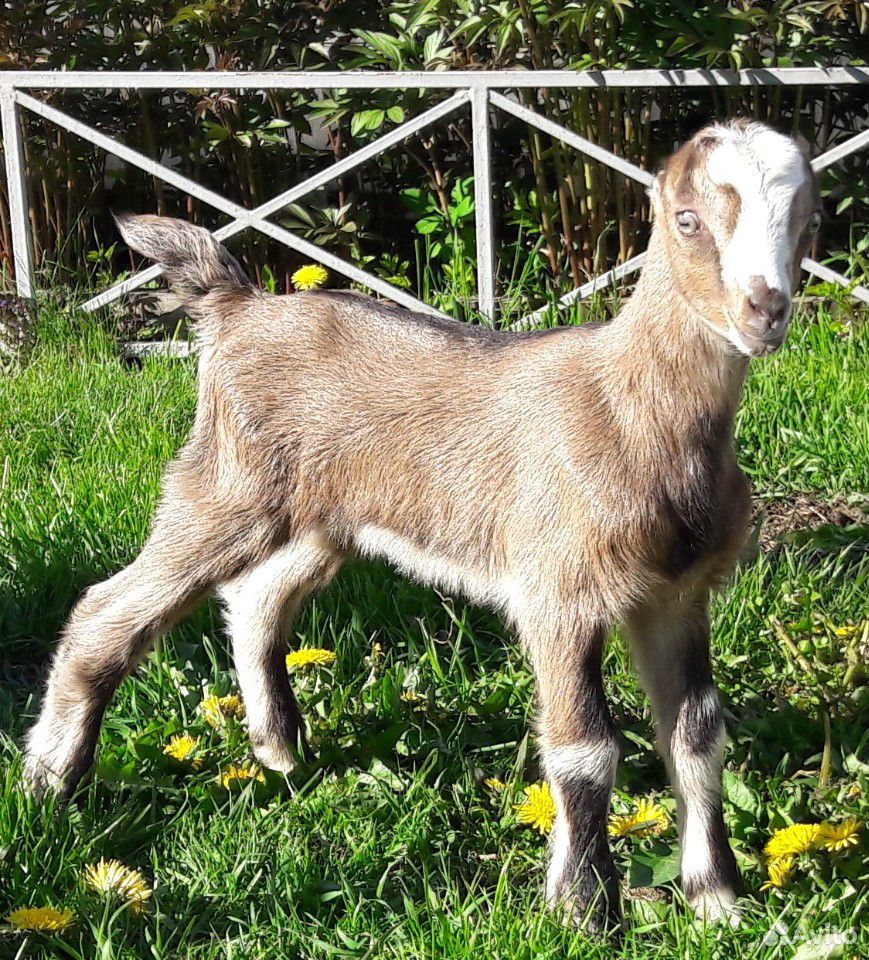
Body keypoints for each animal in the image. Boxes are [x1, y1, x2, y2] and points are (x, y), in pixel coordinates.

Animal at [22, 120, 820, 928]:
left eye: (807, 218)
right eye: (687, 220)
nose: (764, 310)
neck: (628, 410)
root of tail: (237, 307)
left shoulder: (678, 596)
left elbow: (697, 736)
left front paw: (718, 900)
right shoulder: (558, 592)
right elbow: (584, 751)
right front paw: (583, 909)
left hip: (322, 520)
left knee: (256, 600)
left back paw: (280, 754)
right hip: (226, 486)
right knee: (107, 610)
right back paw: (50, 784)